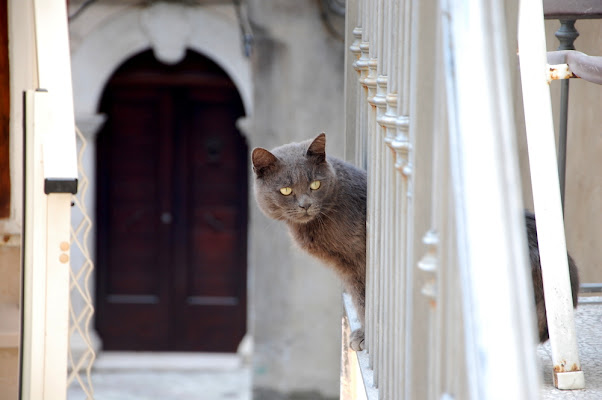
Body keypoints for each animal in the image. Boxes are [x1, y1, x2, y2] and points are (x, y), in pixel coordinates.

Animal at [250, 134, 576, 350]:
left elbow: (367, 300)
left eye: (315, 184)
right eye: (286, 190)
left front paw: (366, 337)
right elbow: (361, 297)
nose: (305, 205)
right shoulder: (349, 270)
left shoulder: (364, 260)